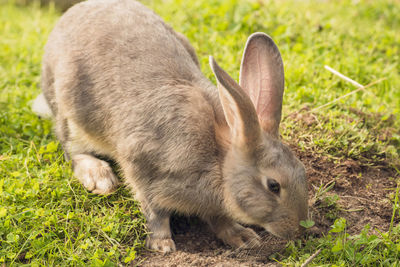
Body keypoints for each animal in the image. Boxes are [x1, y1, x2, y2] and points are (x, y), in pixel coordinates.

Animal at [35, 0, 310, 253]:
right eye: (273, 185)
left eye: (303, 172)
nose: (298, 230)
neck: (218, 159)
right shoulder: (143, 167)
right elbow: (155, 212)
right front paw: (162, 244)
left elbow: (218, 218)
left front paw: (241, 237)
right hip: (69, 110)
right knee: (72, 150)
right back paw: (100, 177)